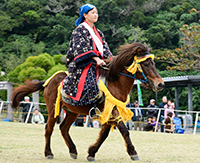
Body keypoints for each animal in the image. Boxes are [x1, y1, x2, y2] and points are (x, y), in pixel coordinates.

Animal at [10, 42, 164, 162]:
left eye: (153, 63)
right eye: (146, 64)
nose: (160, 84)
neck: (115, 82)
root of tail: (49, 81)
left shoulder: (108, 112)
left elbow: (104, 133)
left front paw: (91, 152)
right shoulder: (112, 111)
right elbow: (124, 131)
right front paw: (133, 153)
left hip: (72, 111)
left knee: (63, 128)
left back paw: (73, 150)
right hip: (53, 109)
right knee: (49, 128)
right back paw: (48, 153)